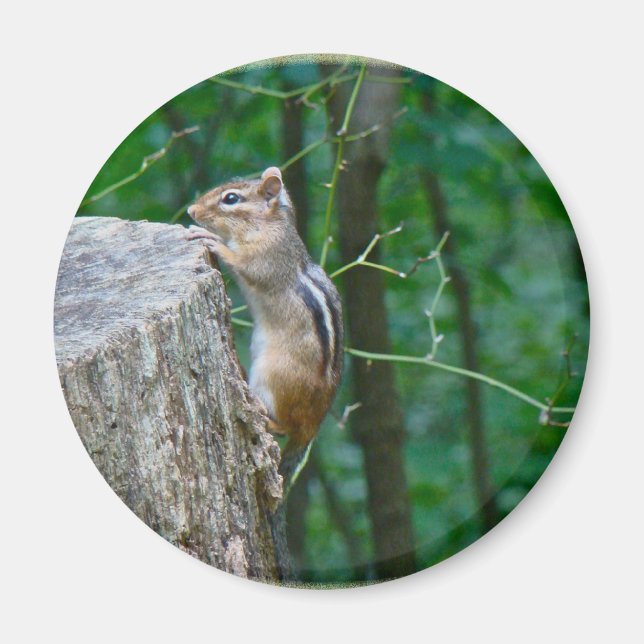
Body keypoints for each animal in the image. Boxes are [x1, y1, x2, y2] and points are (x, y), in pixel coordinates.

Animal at [186, 167, 343, 497]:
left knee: (284, 426)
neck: (269, 224)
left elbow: (243, 264)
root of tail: (313, 428)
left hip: (274, 375)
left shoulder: (266, 257)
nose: (192, 211)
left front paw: (211, 239)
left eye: (231, 199)